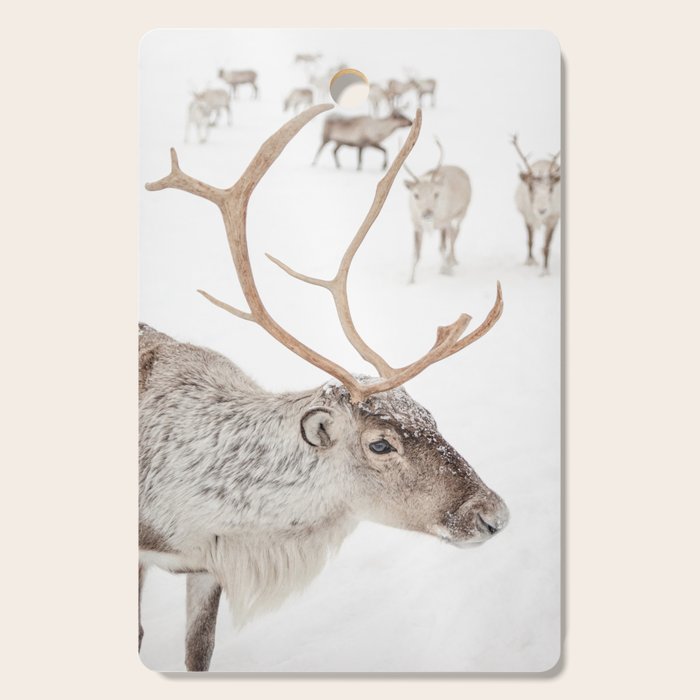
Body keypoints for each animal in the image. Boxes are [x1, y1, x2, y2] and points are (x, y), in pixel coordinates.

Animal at [404, 138, 472, 283]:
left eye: (436, 194)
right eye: (416, 195)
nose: (427, 213)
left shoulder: (444, 222)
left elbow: (442, 247)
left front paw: (446, 271)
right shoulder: (416, 226)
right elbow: (415, 254)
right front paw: (410, 280)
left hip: (462, 213)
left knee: (455, 233)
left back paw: (451, 261)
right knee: (453, 233)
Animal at [511, 134, 561, 273]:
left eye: (551, 189)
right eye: (531, 187)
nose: (542, 210)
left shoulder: (553, 219)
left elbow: (546, 246)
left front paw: (545, 271)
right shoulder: (527, 217)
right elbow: (530, 241)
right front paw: (530, 262)